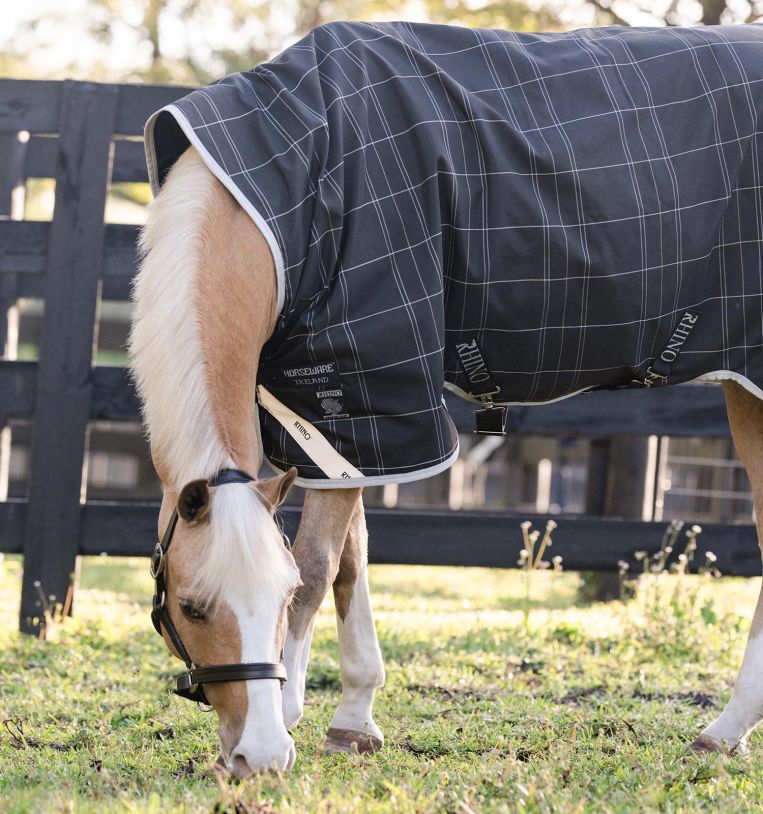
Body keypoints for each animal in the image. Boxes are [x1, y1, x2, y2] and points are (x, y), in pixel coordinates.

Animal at [129, 22, 763, 775]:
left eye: (277, 600)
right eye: (192, 608)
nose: (259, 756)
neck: (289, 192)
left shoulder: (371, 389)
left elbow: (318, 566)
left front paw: (292, 712)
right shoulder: (338, 423)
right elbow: (351, 560)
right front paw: (354, 719)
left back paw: (725, 729)